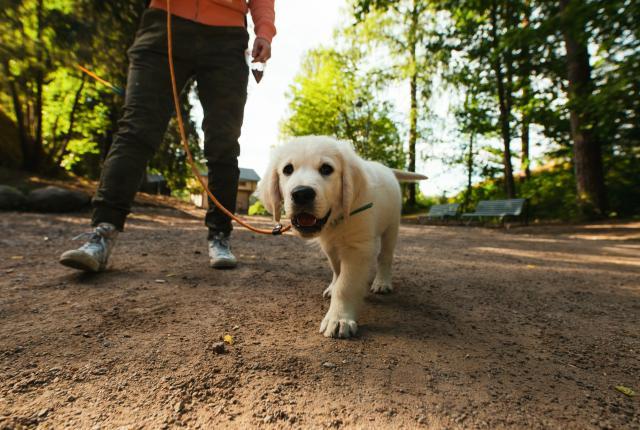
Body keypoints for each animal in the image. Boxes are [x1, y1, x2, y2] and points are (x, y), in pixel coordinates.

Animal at [258, 136, 428, 338]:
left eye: (326, 169)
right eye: (287, 169)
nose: (302, 194)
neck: (337, 218)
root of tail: (386, 168)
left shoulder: (357, 248)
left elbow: (346, 285)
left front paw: (339, 319)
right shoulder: (329, 246)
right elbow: (337, 271)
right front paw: (333, 287)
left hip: (391, 227)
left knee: (385, 257)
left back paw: (382, 282)